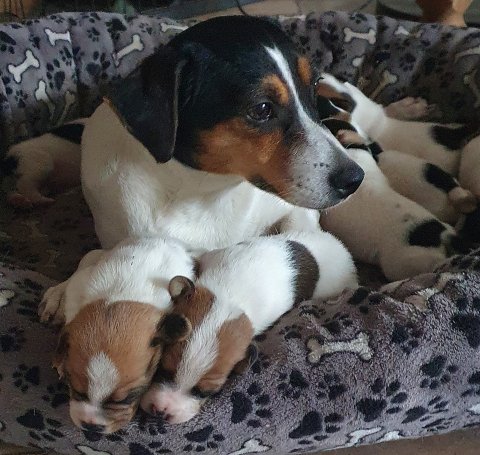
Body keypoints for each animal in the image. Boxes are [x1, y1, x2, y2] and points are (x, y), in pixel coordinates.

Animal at [39, 236, 196, 433]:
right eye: (76, 390)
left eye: (126, 399)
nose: (91, 426)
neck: (118, 298)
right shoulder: (78, 288)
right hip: (93, 256)